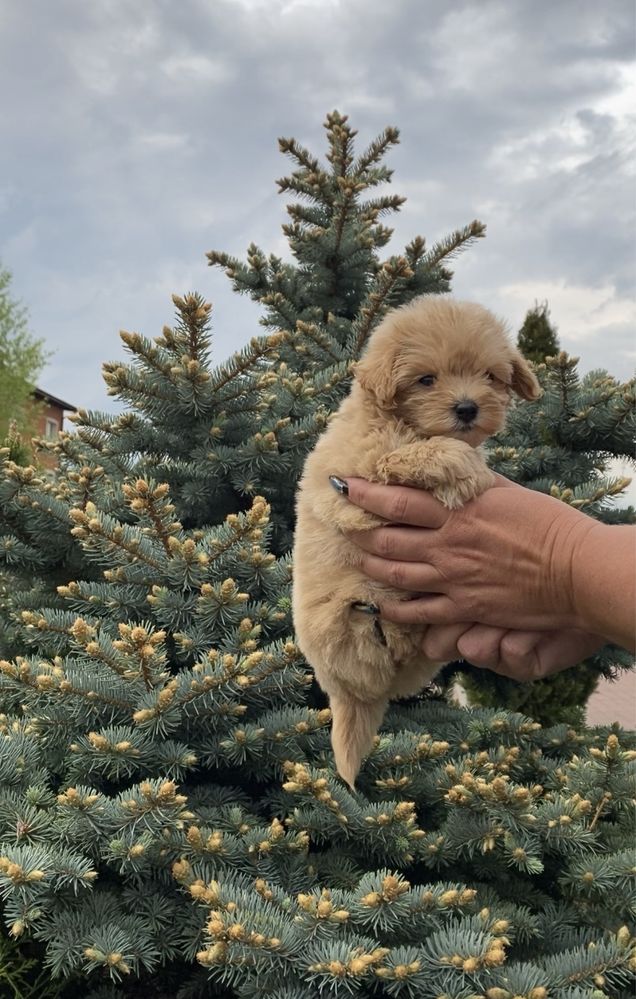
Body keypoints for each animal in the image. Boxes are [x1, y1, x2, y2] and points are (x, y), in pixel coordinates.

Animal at [290, 296, 540, 788]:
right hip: (333, 623)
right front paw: (471, 475)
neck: (394, 417)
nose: (467, 409)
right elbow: (424, 454)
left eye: (489, 376)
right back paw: (373, 616)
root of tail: (349, 693)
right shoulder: (365, 467)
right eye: (426, 380)